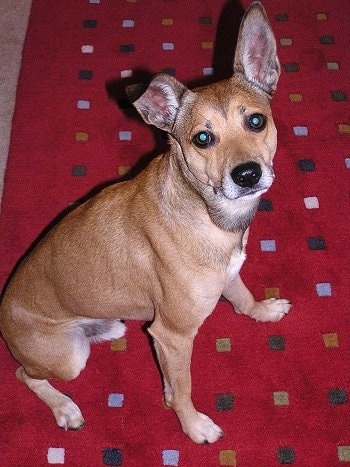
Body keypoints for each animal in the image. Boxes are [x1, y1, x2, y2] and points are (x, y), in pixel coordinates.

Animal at [0, 0, 290, 446]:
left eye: (256, 121)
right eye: (202, 138)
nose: (246, 174)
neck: (208, 214)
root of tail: (2, 316)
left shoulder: (223, 281)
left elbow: (241, 299)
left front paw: (263, 311)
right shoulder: (173, 334)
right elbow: (184, 387)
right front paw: (193, 425)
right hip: (67, 358)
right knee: (23, 374)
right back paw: (65, 408)